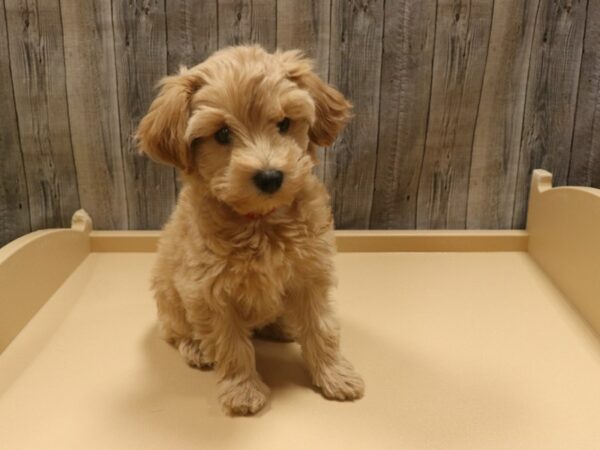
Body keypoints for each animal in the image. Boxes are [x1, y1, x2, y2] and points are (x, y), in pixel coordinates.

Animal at [137, 44, 366, 414]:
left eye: (284, 123)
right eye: (222, 134)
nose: (270, 176)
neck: (261, 221)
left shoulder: (311, 274)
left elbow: (322, 329)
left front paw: (336, 375)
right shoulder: (209, 291)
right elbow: (230, 345)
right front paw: (242, 390)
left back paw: (283, 325)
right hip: (169, 297)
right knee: (176, 331)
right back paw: (196, 348)